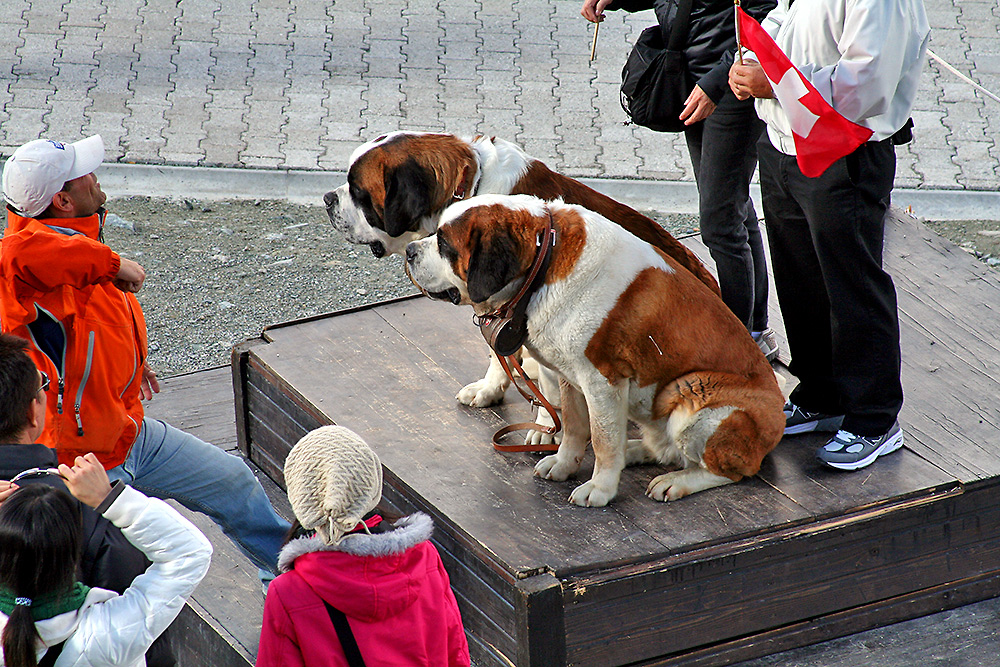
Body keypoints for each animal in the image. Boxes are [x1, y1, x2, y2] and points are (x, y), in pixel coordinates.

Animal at [404, 196, 780, 508]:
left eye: (443, 244)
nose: (408, 250)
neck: (543, 262)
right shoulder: (567, 375)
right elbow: (572, 425)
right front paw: (563, 463)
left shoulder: (602, 381)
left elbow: (602, 440)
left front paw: (600, 489)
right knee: (667, 450)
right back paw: (637, 451)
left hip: (693, 394)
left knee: (731, 470)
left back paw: (676, 481)